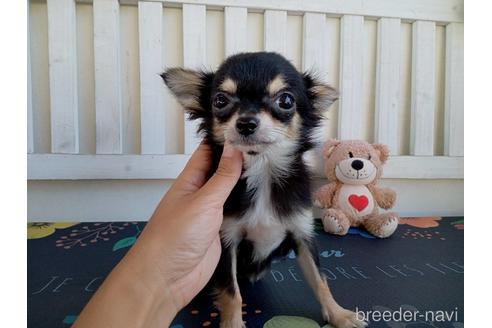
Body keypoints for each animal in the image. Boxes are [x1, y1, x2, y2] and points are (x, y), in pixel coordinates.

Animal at [161, 51, 366, 328]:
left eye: (286, 100)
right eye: (220, 100)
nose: (246, 123)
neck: (262, 170)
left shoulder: (302, 234)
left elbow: (320, 280)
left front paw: (339, 314)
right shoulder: (225, 241)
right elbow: (231, 292)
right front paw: (233, 324)